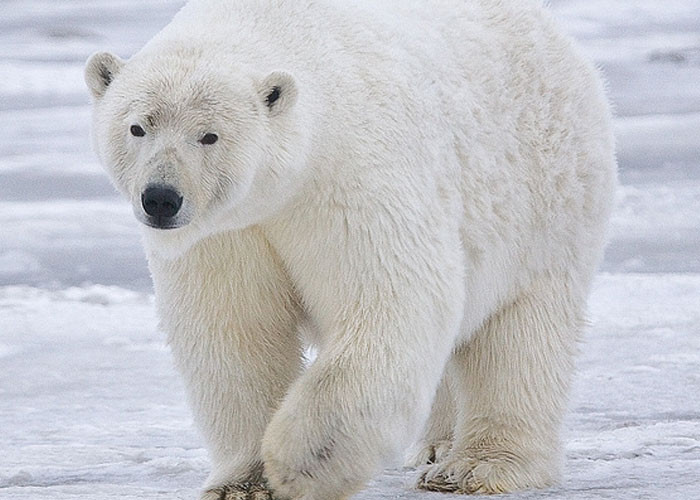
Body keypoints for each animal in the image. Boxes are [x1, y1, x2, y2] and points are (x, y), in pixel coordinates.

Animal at [85, 0, 616, 498]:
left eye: (209, 135)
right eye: (137, 127)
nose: (161, 198)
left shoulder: (352, 176)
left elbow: (389, 301)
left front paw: (300, 463)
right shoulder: (227, 233)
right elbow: (235, 331)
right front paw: (244, 482)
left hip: (545, 201)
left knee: (520, 338)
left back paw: (475, 466)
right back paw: (435, 445)